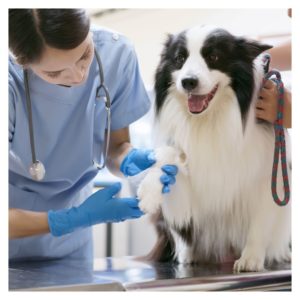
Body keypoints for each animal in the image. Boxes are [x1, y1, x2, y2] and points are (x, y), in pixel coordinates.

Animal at [138, 25, 290, 272]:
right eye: (179, 58)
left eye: (214, 57)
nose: (188, 82)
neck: (209, 119)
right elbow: (169, 156)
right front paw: (150, 191)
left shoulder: (266, 176)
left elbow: (259, 222)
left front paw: (251, 258)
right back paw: (186, 255)